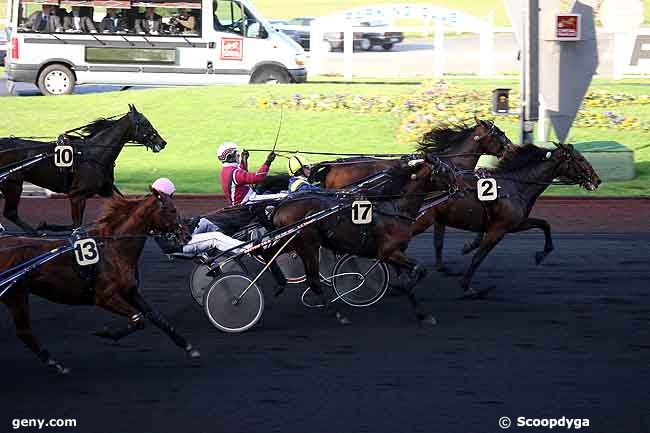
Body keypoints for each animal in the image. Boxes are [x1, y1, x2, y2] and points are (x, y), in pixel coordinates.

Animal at [0, 105, 166, 233]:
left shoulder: (105, 190)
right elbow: (76, 225)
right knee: (10, 213)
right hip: (13, 183)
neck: (93, 154)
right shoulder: (76, 195)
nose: (162, 142)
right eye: (145, 123)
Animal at [0, 191, 197, 372]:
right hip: (15, 294)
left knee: (24, 332)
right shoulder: (104, 297)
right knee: (24, 331)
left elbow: (155, 316)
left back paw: (54, 363)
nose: (187, 236)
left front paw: (187, 346)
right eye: (171, 210)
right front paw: (106, 332)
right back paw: (54, 363)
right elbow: (138, 319)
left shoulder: (130, 291)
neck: (113, 249)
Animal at [270, 156, 454, 324]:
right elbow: (419, 269)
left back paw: (280, 283)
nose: (457, 184)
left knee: (272, 255)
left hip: (292, 242)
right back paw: (337, 314)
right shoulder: (388, 252)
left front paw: (422, 314)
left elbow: (408, 278)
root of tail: (280, 208)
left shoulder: (395, 252)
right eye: (445, 170)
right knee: (313, 280)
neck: (394, 208)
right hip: (308, 245)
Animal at [412, 142, 600, 296]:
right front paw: (466, 285)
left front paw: (541, 254)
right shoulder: (498, 229)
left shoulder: (515, 224)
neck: (515, 186)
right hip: (420, 221)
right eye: (580, 159)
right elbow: (478, 257)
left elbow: (544, 224)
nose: (597, 180)